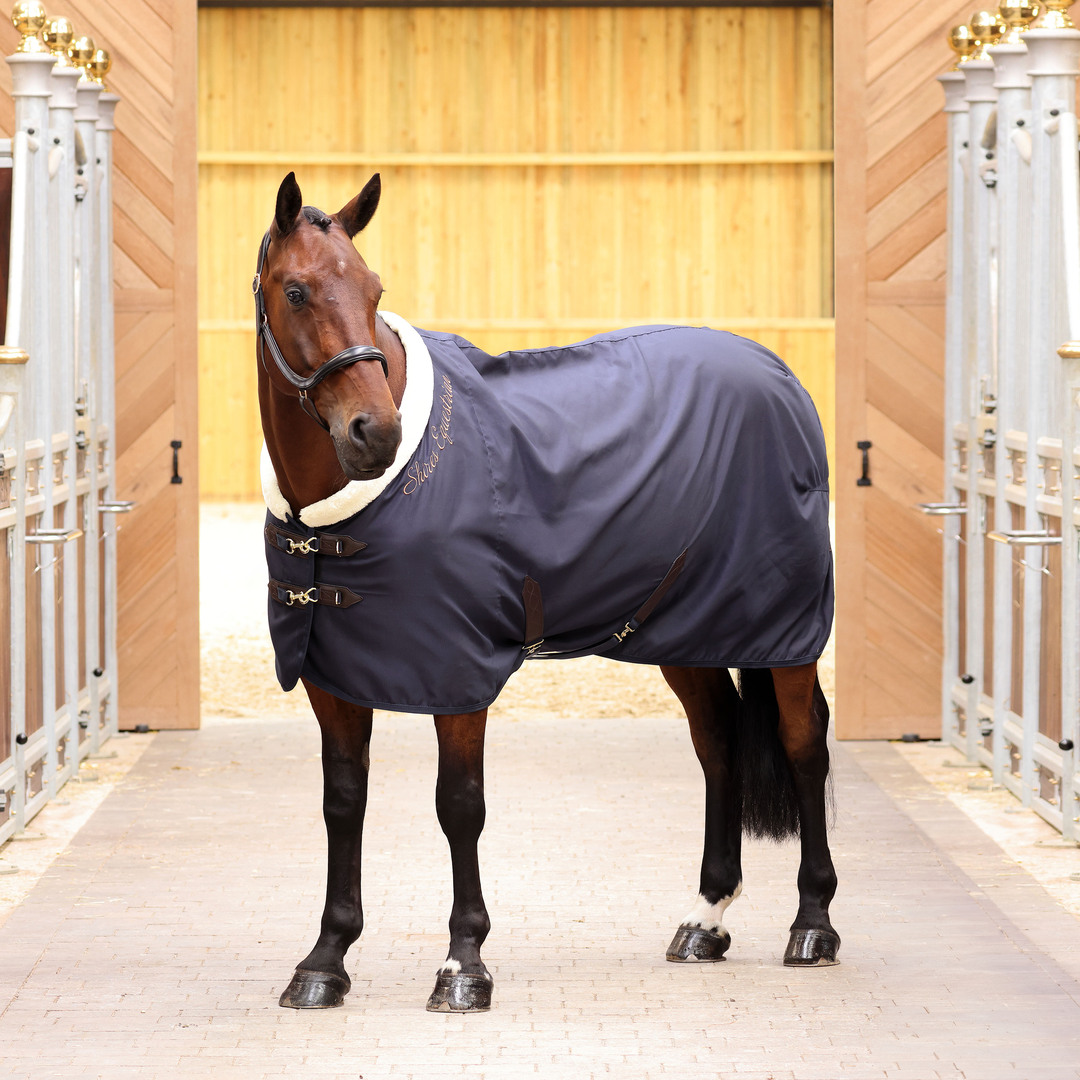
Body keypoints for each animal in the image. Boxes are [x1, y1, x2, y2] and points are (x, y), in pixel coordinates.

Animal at [255, 171, 838, 1013]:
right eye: (296, 290)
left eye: (373, 288)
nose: (376, 434)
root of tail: (780, 378)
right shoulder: (333, 679)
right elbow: (344, 803)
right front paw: (326, 961)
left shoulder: (457, 675)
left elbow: (459, 806)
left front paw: (464, 965)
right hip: (683, 634)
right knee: (719, 742)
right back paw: (706, 919)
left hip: (785, 635)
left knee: (803, 745)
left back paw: (813, 924)